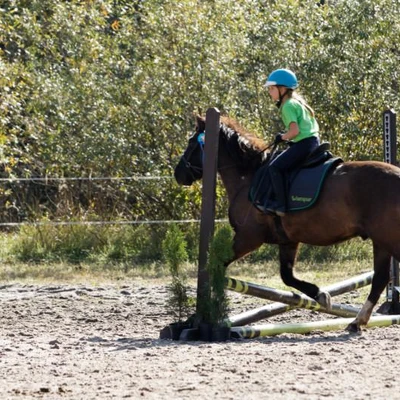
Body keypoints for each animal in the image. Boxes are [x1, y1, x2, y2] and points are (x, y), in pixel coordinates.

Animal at [176, 115, 400, 332]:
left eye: (191, 143)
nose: (178, 173)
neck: (249, 177)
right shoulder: (288, 241)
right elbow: (287, 276)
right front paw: (320, 295)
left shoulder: (248, 237)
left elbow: (217, 264)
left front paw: (200, 316)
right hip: (380, 241)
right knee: (380, 279)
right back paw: (357, 321)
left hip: (387, 238)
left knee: (381, 278)